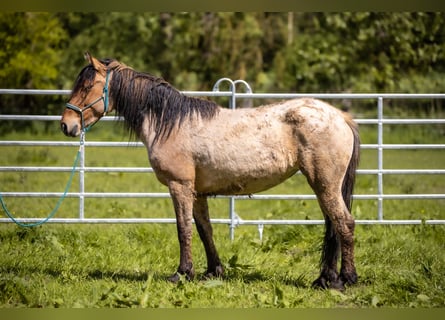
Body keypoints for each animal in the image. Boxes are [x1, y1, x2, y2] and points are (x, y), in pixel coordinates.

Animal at [61, 52, 360, 290]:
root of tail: (340, 117)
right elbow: (205, 230)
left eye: (87, 85)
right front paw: (212, 271)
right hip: (324, 187)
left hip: (325, 185)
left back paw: (345, 279)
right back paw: (325, 279)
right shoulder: (197, 192)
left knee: (344, 223)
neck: (170, 122)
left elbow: (183, 229)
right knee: (333, 226)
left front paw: (182, 274)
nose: (66, 125)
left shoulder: (179, 186)